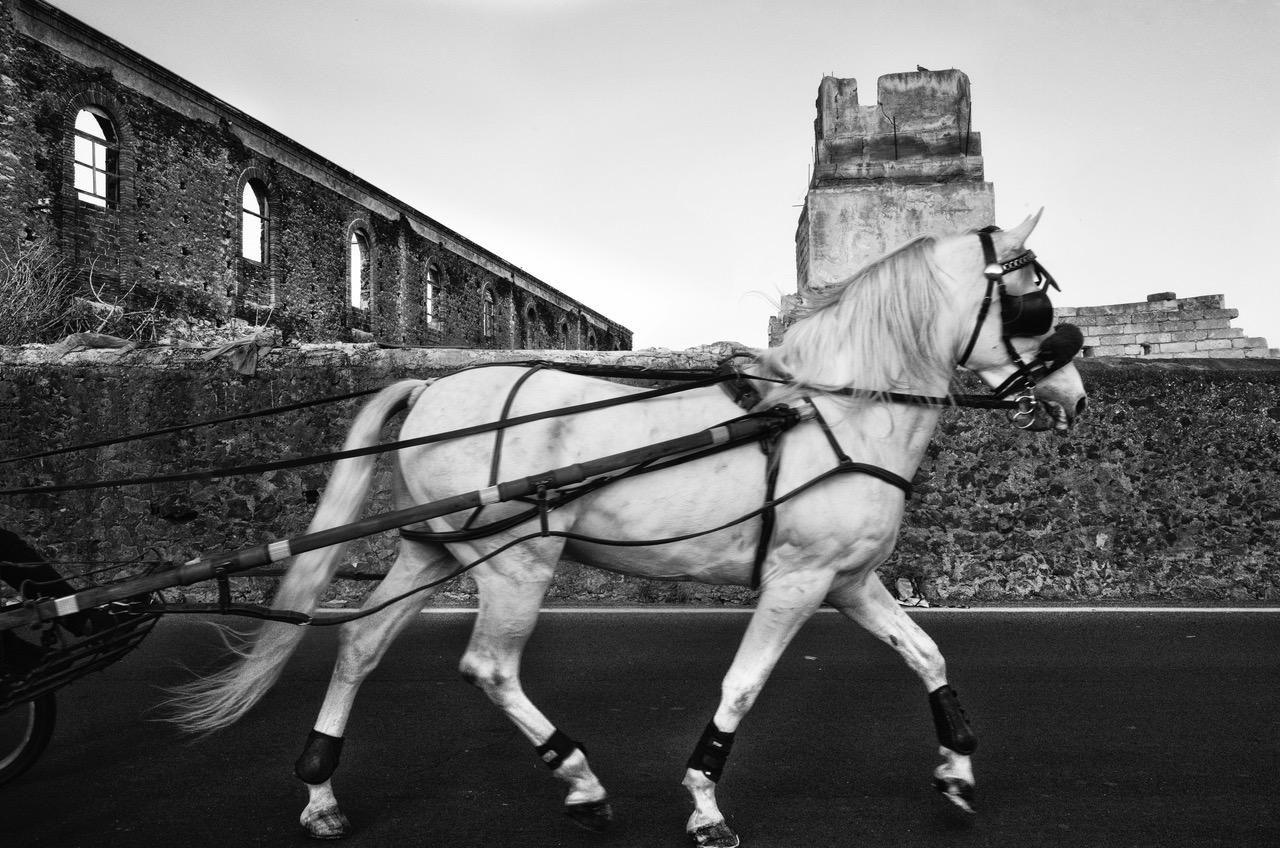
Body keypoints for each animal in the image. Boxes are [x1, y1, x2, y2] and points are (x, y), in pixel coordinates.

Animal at [169, 212, 1088, 847]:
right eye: (1034, 300)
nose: (1074, 393)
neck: (836, 409)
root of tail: (429, 389)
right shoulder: (796, 579)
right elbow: (742, 687)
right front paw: (705, 801)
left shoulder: (850, 581)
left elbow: (928, 656)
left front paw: (958, 765)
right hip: (515, 563)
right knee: (488, 667)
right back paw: (578, 779)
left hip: (430, 549)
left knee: (360, 646)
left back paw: (321, 790)